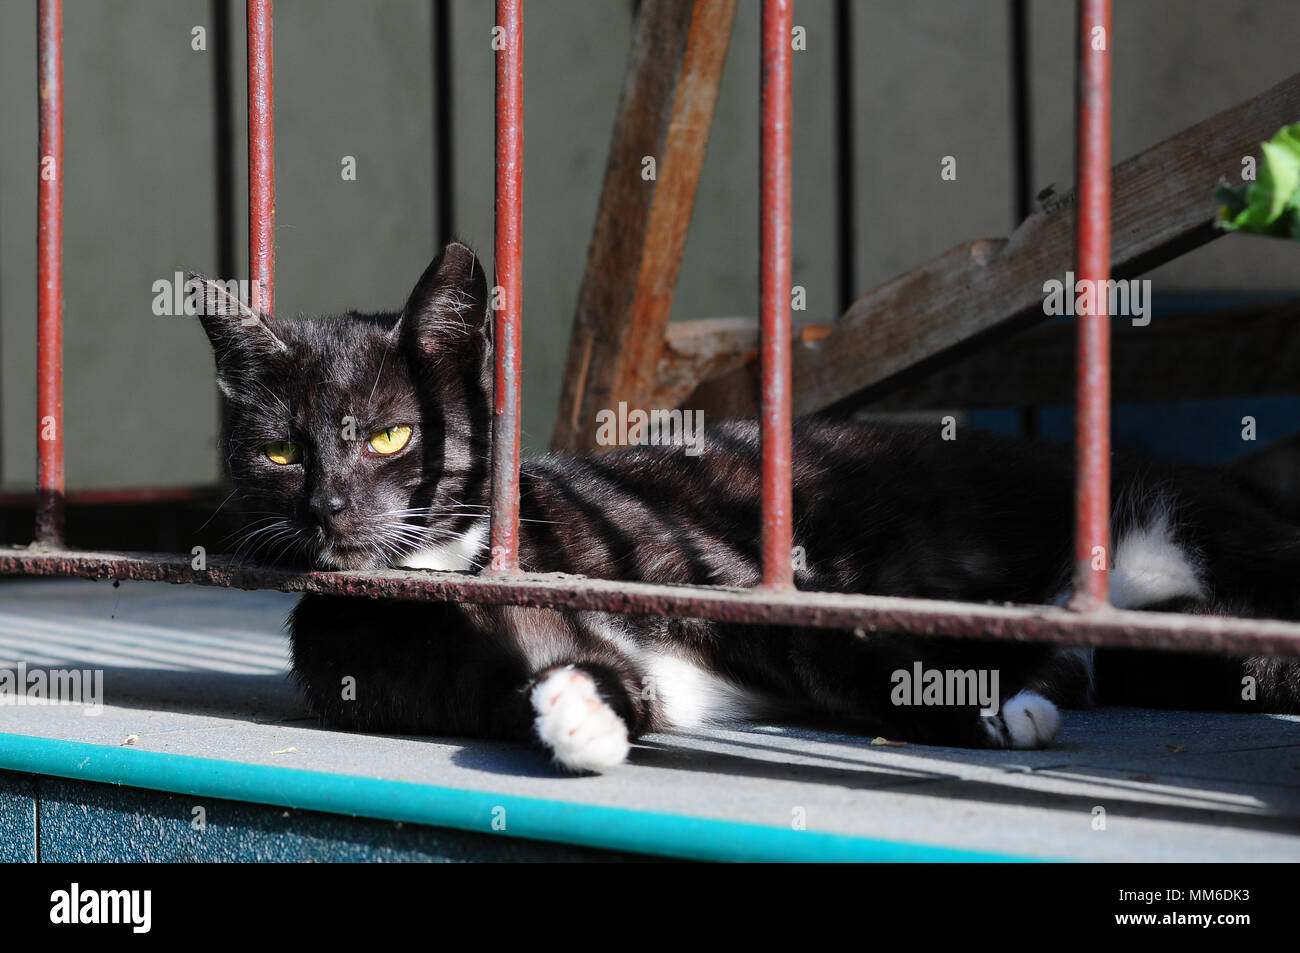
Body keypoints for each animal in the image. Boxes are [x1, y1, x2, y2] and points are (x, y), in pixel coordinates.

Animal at [192, 243, 1300, 774]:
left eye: (389, 437)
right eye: (283, 450)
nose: (332, 504)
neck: (440, 580)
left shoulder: (742, 574)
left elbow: (836, 639)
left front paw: (980, 706)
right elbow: (576, 680)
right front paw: (583, 714)